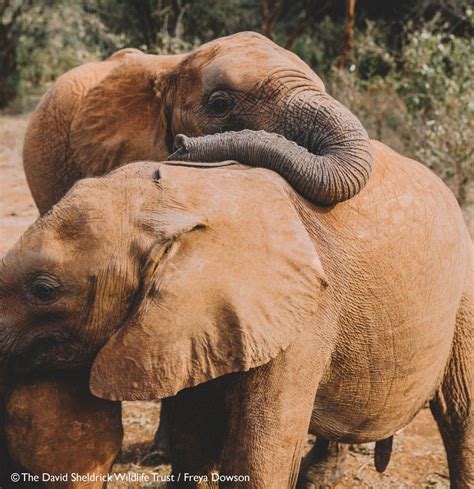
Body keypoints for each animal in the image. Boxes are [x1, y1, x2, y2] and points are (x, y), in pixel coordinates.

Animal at [1, 140, 472, 484]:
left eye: (43, 290)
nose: (182, 143)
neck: (187, 200)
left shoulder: (302, 321)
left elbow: (258, 457)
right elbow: (193, 442)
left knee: (460, 416)